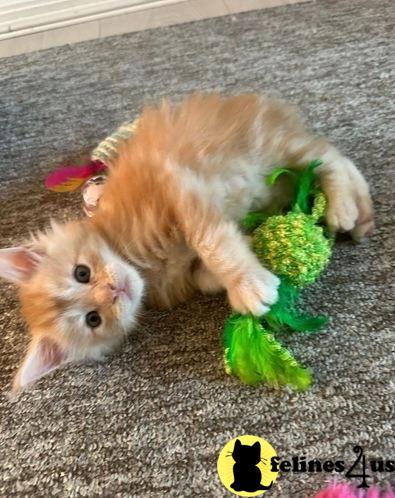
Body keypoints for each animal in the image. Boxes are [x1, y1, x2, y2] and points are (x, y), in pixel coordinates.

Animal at [0, 92, 374, 390]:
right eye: (93, 319)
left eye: (82, 273)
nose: (113, 290)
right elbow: (205, 270)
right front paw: (238, 262)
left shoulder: (176, 185)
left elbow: (212, 241)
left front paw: (249, 286)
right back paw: (361, 217)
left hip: (267, 145)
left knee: (328, 155)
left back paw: (342, 209)